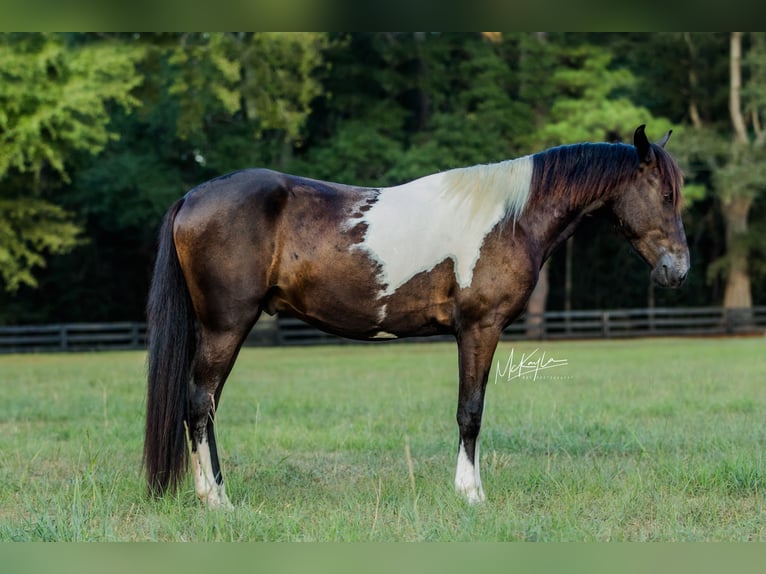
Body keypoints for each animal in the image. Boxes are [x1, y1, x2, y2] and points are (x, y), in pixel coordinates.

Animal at [142, 125, 688, 508]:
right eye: (665, 195)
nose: (678, 270)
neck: (509, 217)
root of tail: (193, 196)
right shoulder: (479, 329)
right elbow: (471, 412)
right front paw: (471, 494)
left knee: (203, 406)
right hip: (226, 327)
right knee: (200, 403)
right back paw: (217, 501)